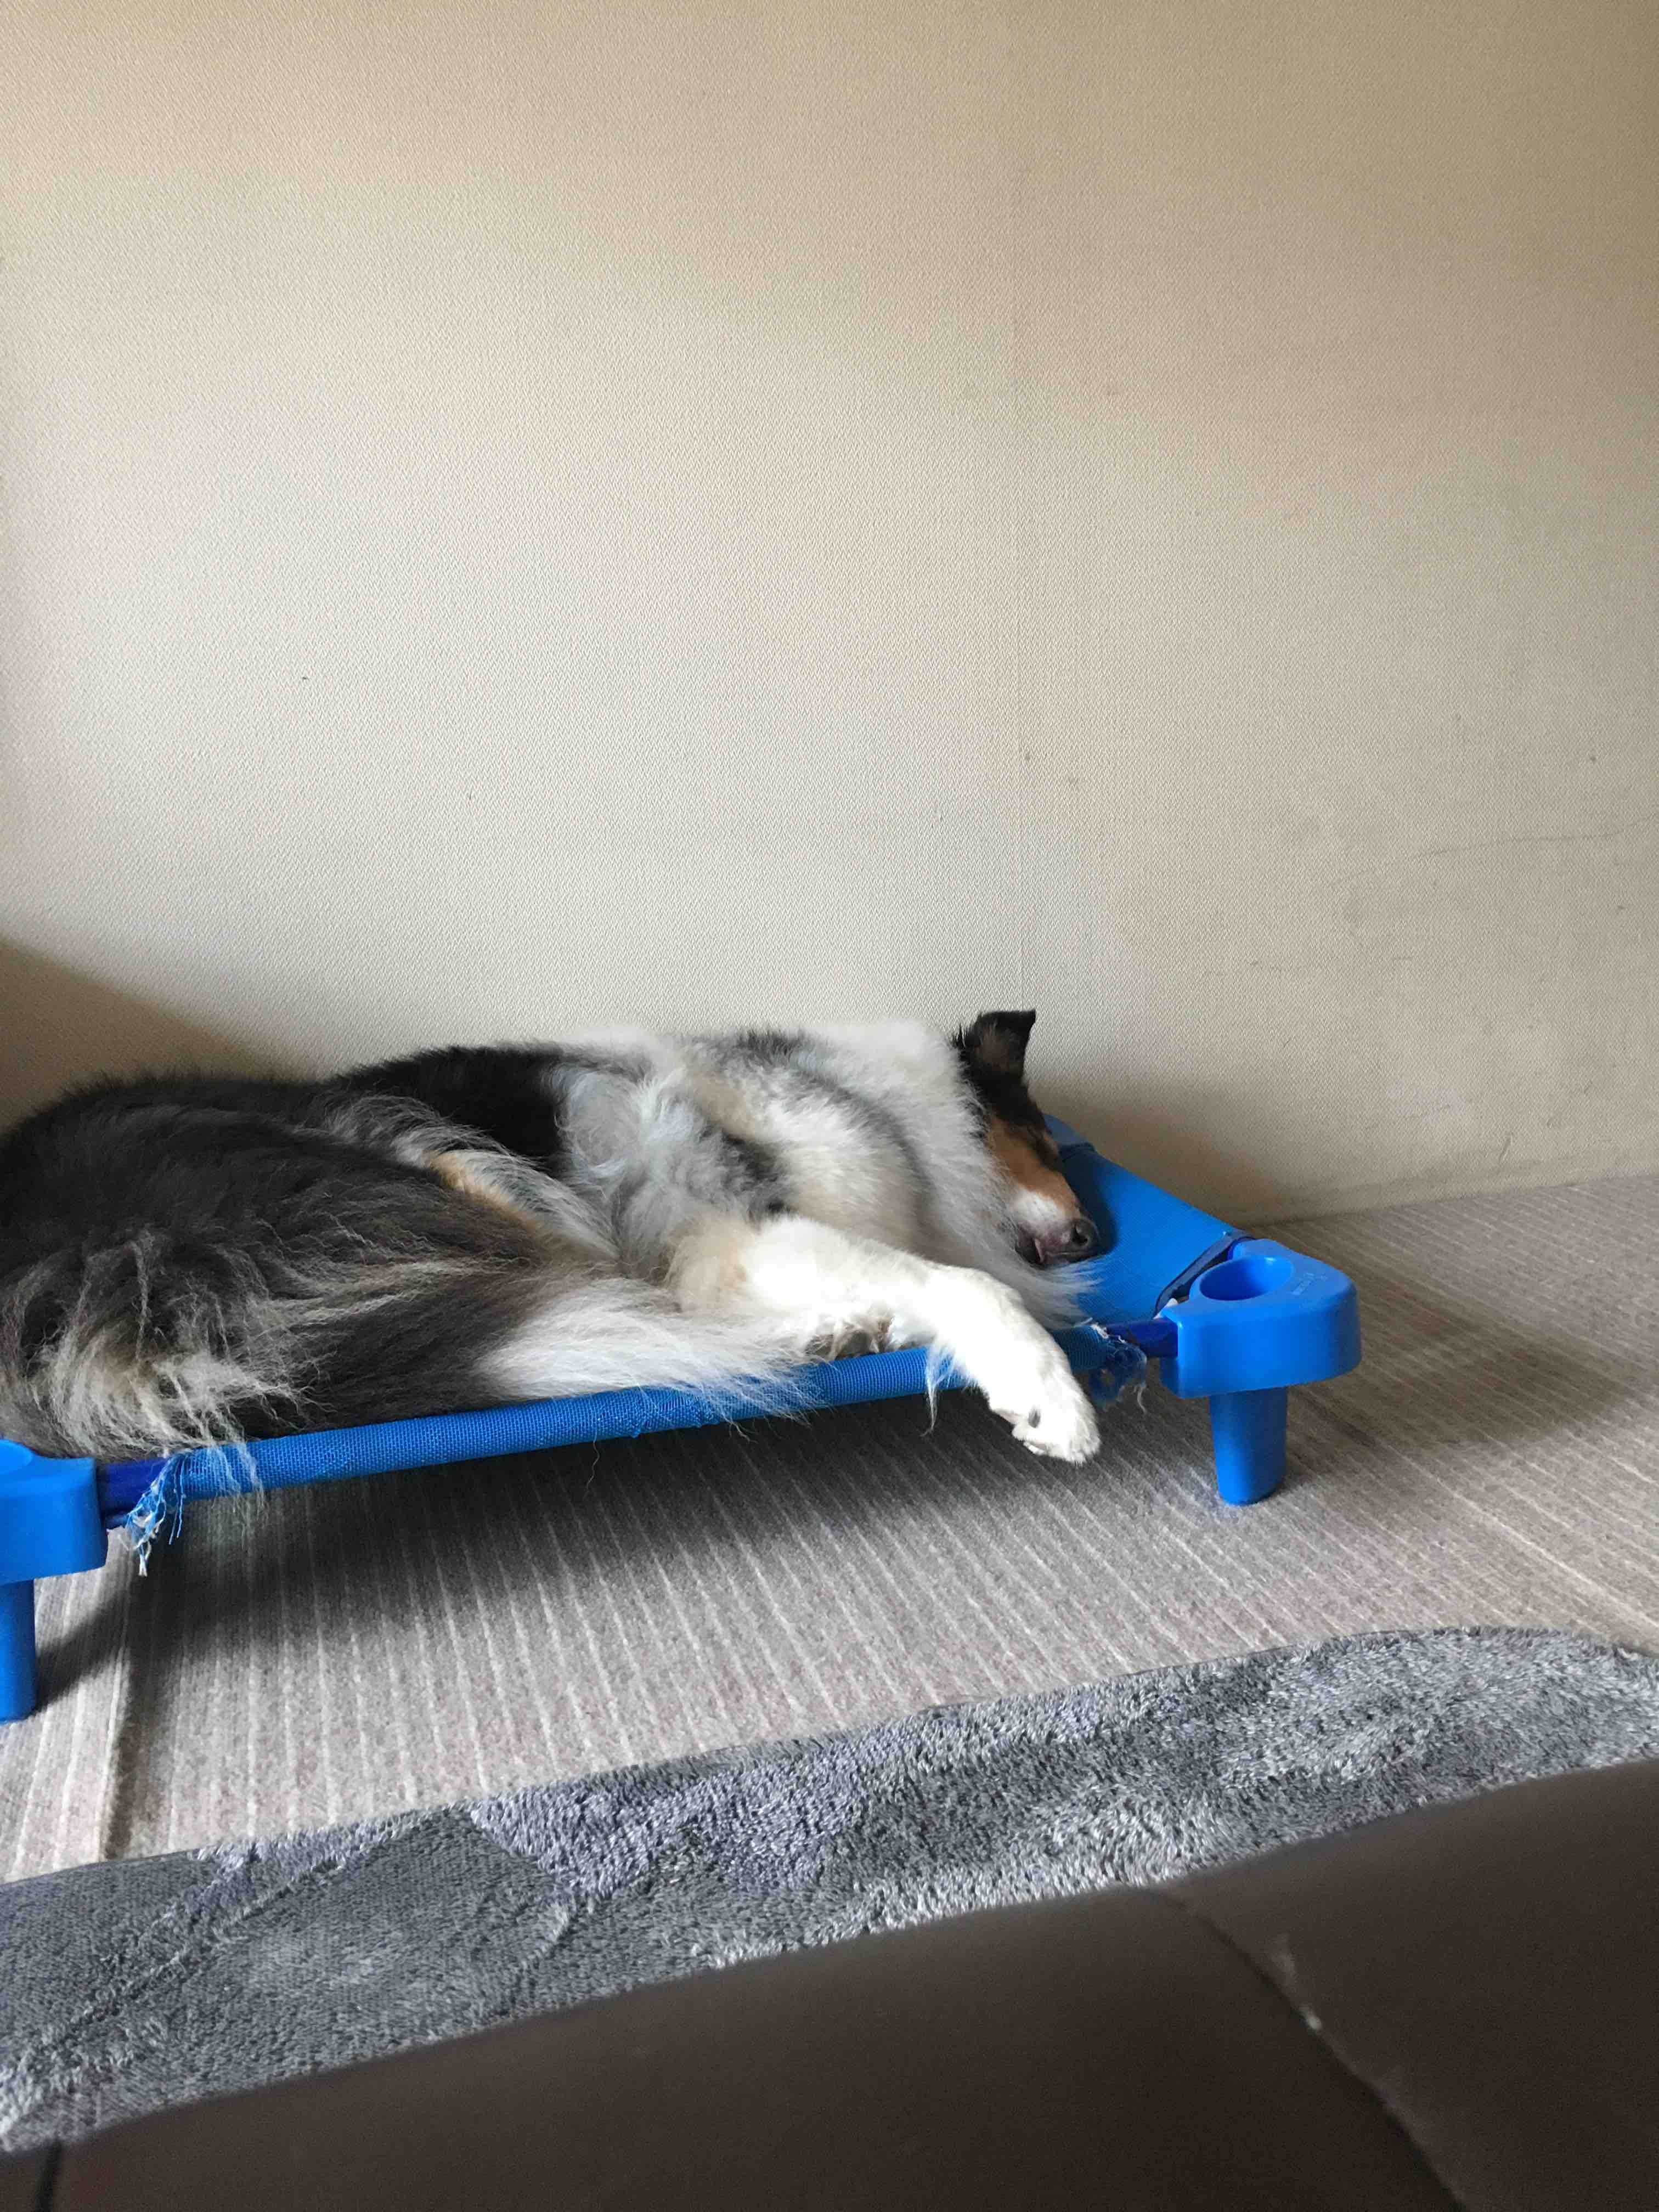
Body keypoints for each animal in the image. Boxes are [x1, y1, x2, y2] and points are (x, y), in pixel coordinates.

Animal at [0, 1012, 1105, 1467]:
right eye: (1047, 1140)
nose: (1096, 1232)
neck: (891, 1109)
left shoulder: (729, 1252)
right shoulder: (736, 1231)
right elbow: (967, 1284)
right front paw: (1047, 1398)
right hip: (437, 1157)